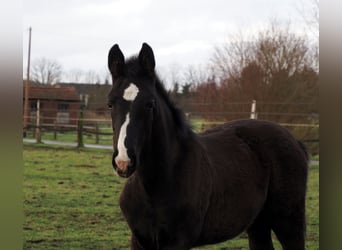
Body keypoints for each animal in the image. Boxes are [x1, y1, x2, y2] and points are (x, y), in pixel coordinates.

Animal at [106, 42, 308, 249]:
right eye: (110, 104)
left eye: (150, 104)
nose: (123, 162)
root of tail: (296, 142)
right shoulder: (139, 240)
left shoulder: (178, 242)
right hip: (258, 223)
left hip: (289, 222)